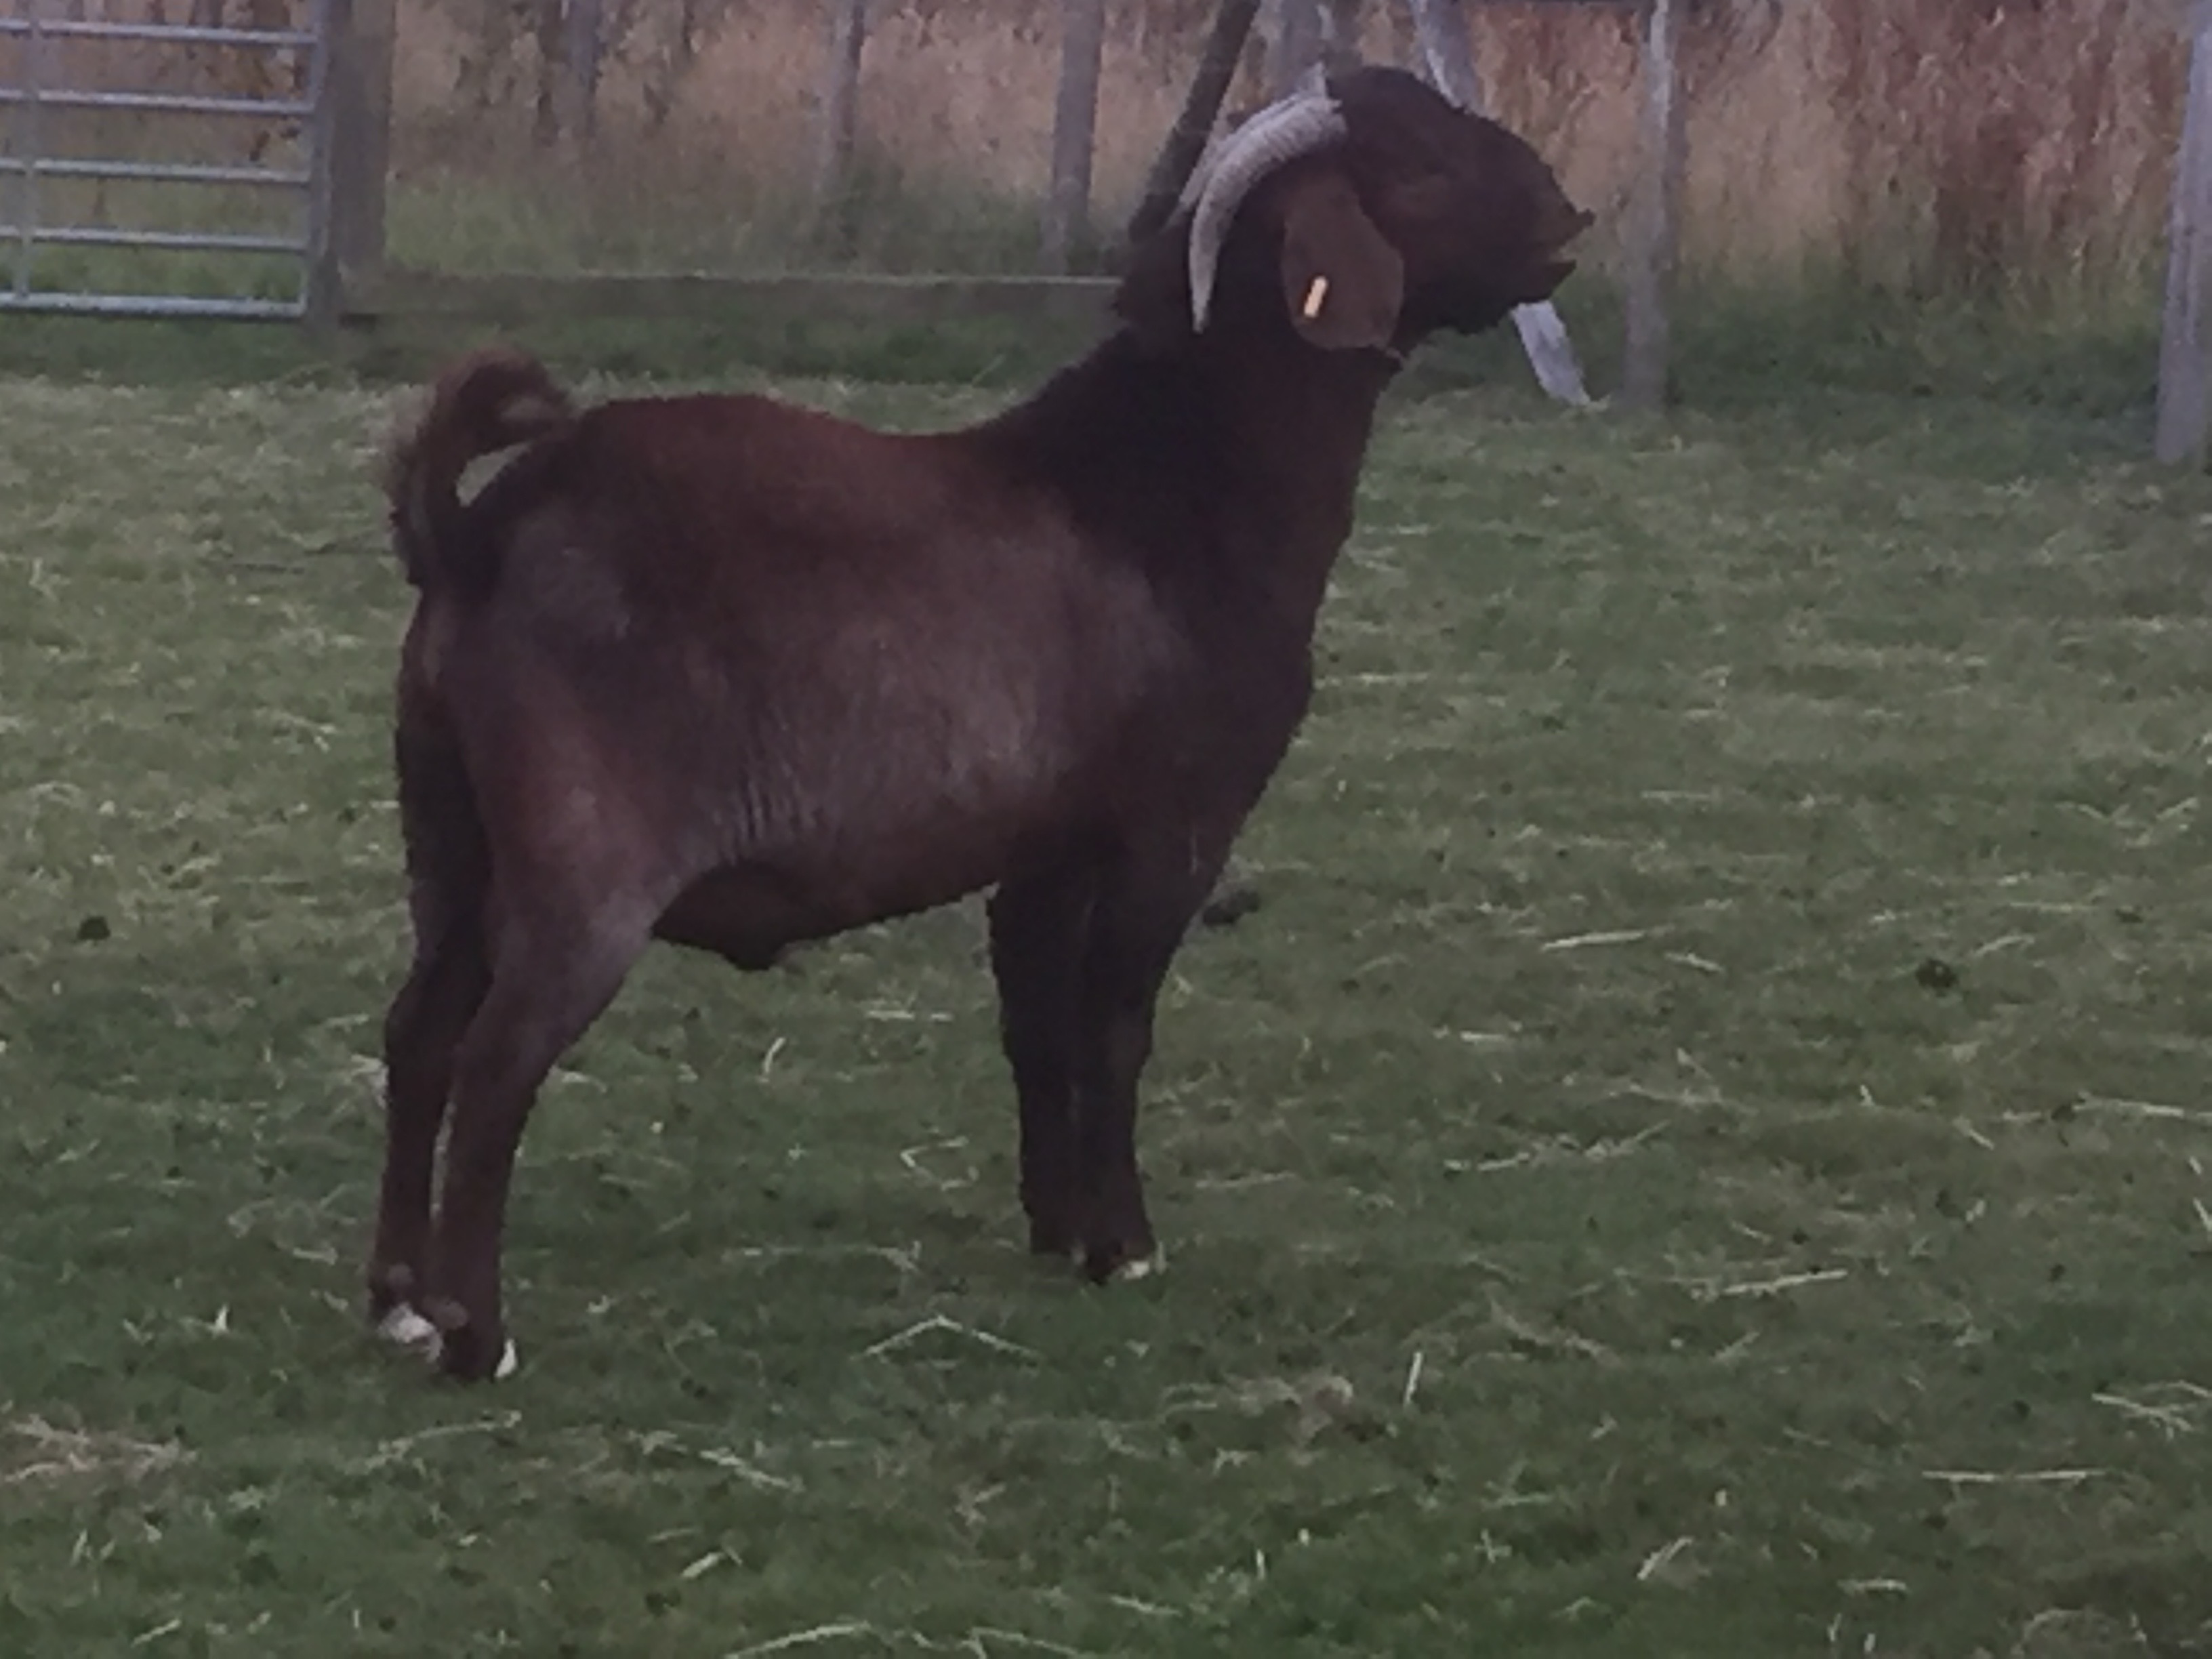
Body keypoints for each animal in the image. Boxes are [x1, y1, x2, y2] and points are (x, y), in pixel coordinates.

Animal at [369, 64, 1590, 1381]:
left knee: (419, 1032)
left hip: (450, 834)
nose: (1568, 217)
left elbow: (1035, 1020)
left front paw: (1058, 1229)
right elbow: (1113, 1022)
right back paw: (475, 1333)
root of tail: (475, 531)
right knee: (497, 1060)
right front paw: (1125, 1245)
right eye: (1419, 162)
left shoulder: (1044, 843)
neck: (1178, 481)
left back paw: (398, 1299)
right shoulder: (1172, 822)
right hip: (581, 863)